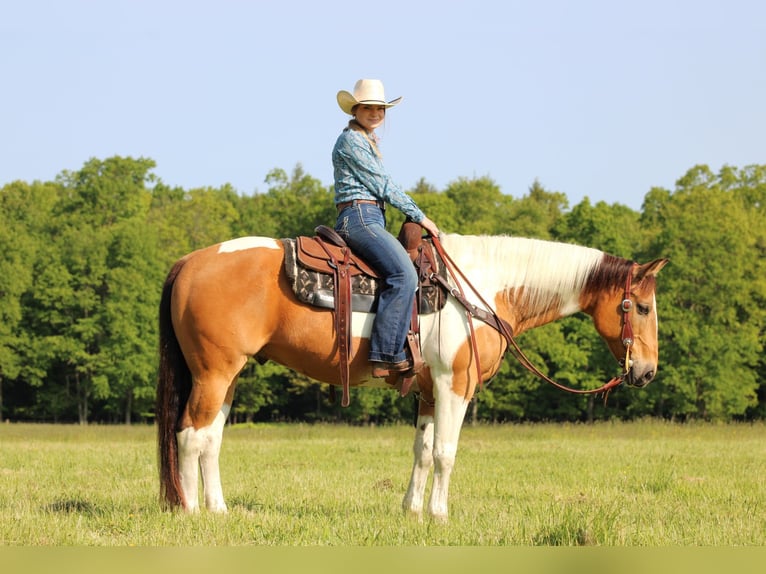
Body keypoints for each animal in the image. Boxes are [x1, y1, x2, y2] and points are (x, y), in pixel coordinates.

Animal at [156, 232, 668, 521]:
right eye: (641, 307)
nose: (645, 372)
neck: (481, 287)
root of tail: (189, 262)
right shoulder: (453, 384)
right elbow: (444, 452)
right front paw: (440, 515)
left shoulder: (427, 390)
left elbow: (422, 452)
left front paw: (412, 511)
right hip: (213, 374)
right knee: (190, 435)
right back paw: (191, 512)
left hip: (229, 377)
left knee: (211, 439)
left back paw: (219, 510)